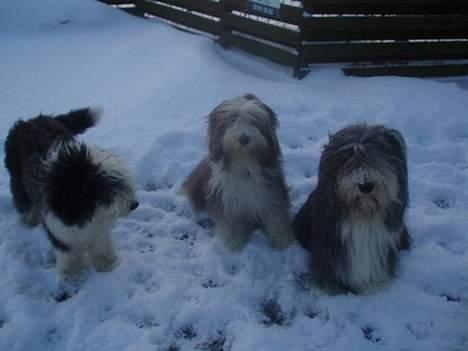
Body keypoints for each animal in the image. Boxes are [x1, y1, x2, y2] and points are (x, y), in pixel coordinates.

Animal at [4, 108, 138, 280]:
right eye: (110, 188)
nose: (134, 204)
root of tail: (28, 121)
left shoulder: (99, 227)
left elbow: (101, 244)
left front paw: (108, 264)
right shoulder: (58, 226)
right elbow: (67, 253)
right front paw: (71, 273)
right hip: (17, 181)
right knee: (23, 201)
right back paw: (28, 221)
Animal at [182, 95, 292, 252]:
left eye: (253, 120)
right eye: (233, 120)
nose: (244, 139)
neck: (244, 164)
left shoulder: (271, 194)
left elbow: (277, 218)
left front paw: (284, 241)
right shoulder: (226, 200)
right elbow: (231, 224)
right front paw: (234, 244)